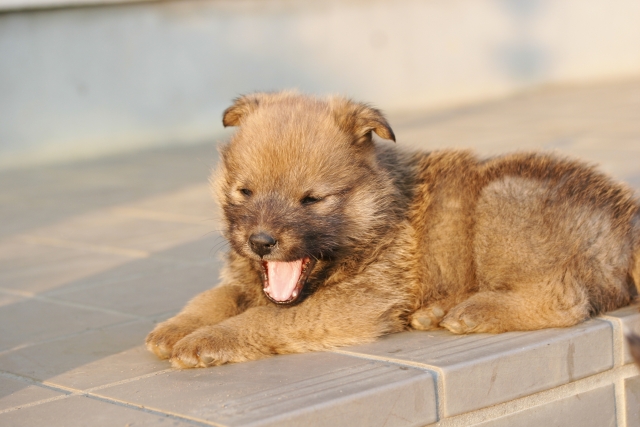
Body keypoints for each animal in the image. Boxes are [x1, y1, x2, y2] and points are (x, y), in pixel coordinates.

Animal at [145, 90, 640, 368]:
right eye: (244, 191)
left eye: (312, 200)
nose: (261, 242)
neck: (375, 213)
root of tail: (626, 220)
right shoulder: (246, 279)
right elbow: (216, 297)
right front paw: (177, 327)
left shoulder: (355, 303)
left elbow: (265, 316)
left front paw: (207, 340)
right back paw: (439, 311)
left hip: (503, 196)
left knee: (564, 298)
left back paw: (473, 312)